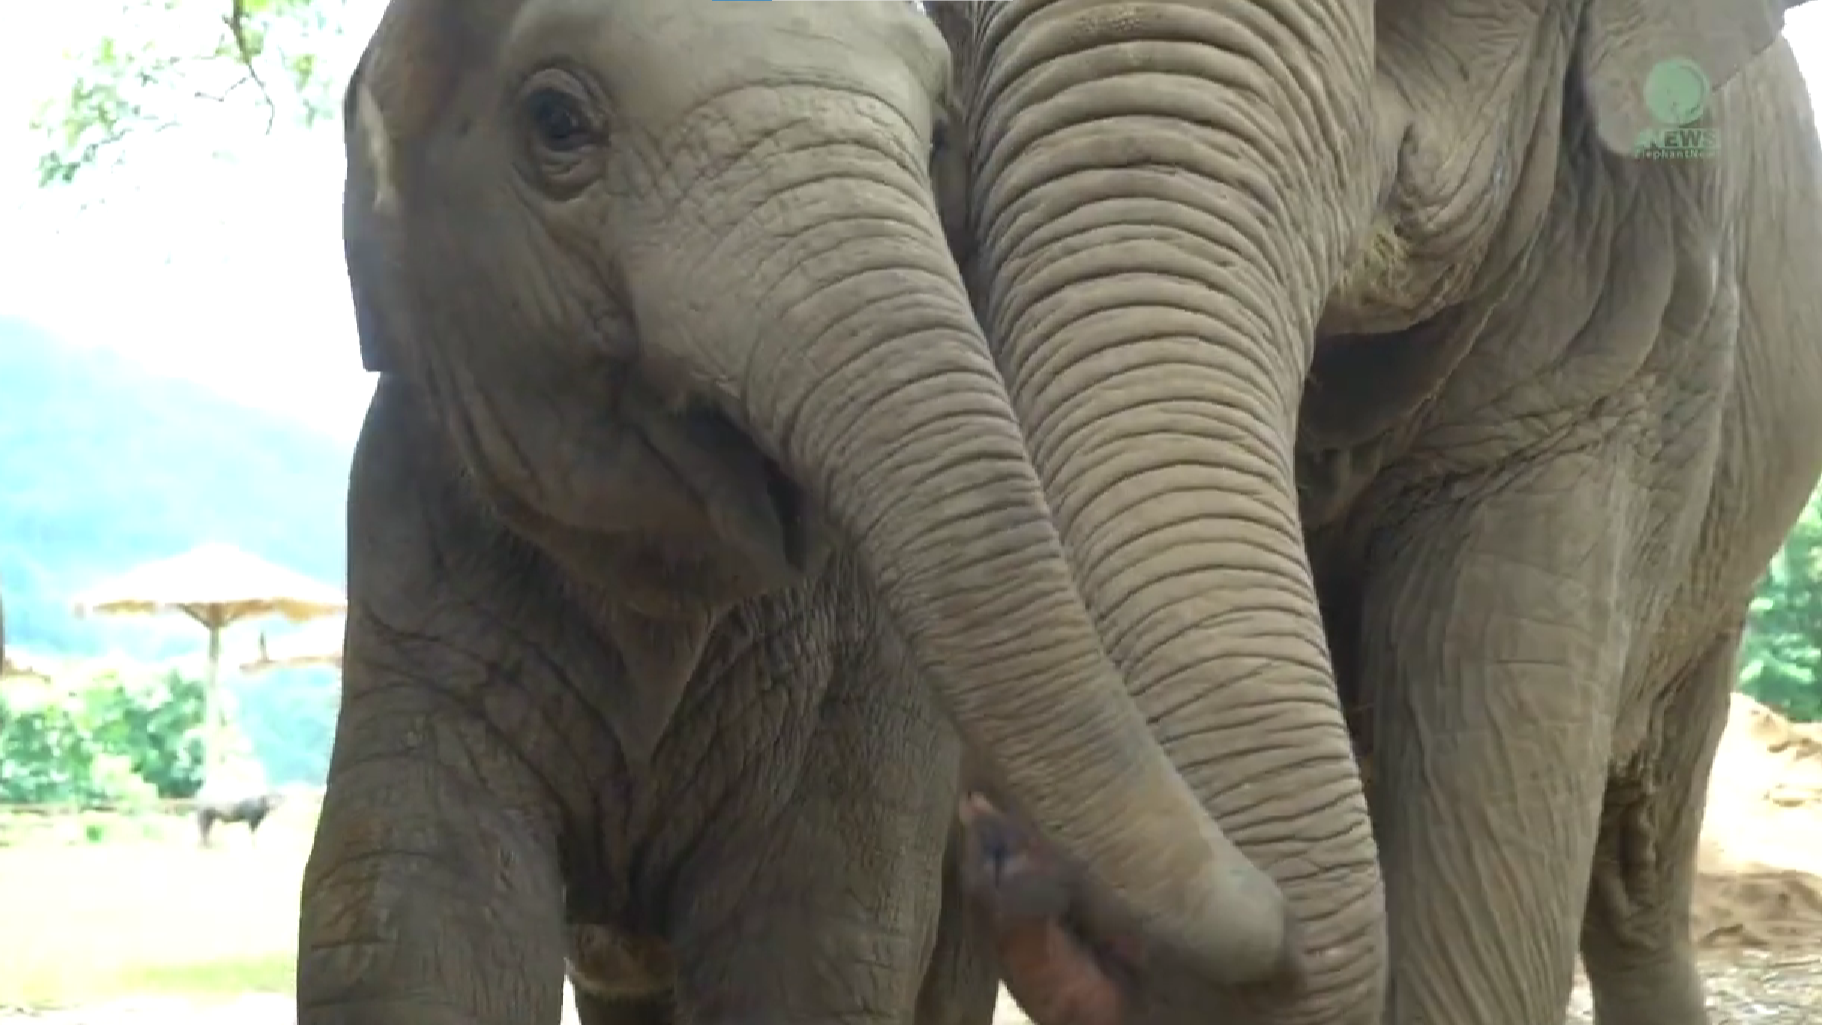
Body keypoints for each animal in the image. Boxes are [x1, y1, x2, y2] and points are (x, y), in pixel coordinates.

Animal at [296, 1, 1307, 1023]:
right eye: (556, 122)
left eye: (937, 138)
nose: (1005, 849)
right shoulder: (417, 564)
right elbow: (418, 919)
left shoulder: (862, 671)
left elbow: (815, 945)